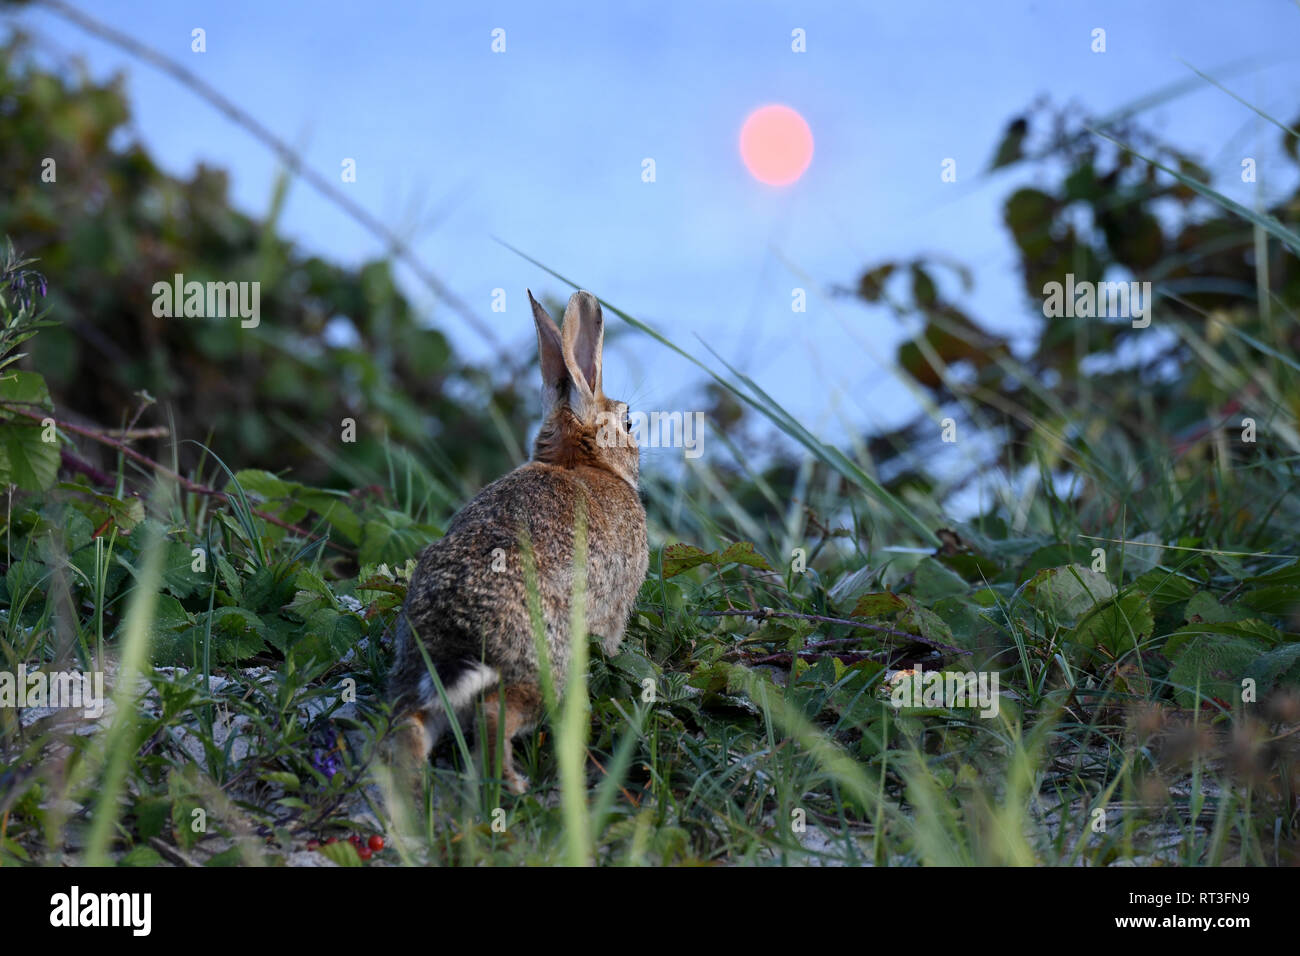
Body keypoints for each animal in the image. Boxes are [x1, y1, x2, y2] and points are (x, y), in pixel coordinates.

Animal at [386, 289, 648, 794]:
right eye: (627, 423)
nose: (637, 447)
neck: (578, 462)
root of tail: (457, 633)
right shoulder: (615, 611)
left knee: (410, 725)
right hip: (542, 668)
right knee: (495, 714)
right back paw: (511, 783)